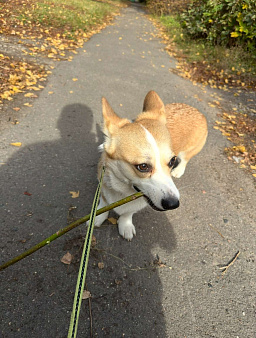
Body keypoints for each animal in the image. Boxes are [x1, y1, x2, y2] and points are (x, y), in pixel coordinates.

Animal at [92, 90, 208, 240]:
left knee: (185, 159)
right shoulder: (104, 188)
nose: (173, 204)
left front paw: (125, 224)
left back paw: (179, 171)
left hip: (189, 151)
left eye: (172, 161)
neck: (124, 191)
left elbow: (128, 213)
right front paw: (97, 218)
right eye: (143, 166)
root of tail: (196, 110)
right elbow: (103, 203)